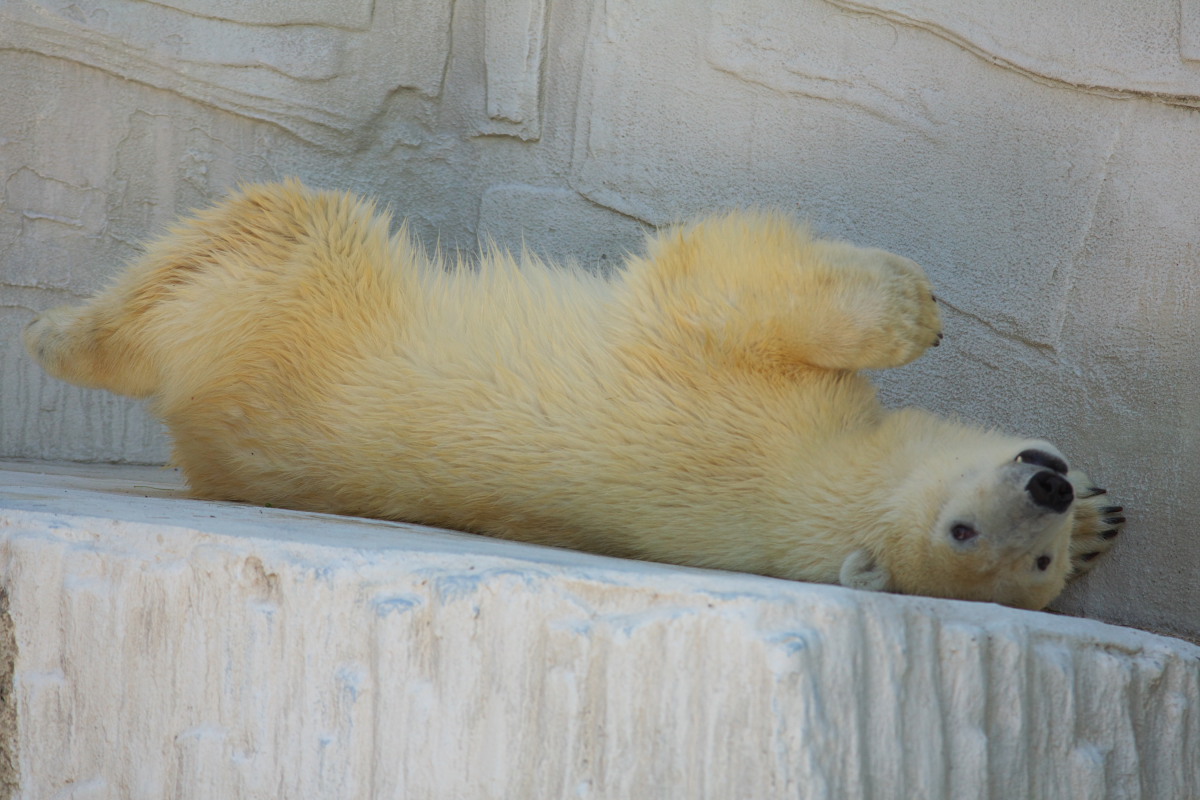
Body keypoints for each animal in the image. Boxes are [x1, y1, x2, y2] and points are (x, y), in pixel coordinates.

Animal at [21, 179, 1123, 606]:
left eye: (1033, 563)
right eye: (966, 533)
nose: (1050, 489)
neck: (821, 494)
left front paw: (1099, 520)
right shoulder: (741, 402)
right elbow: (714, 277)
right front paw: (915, 305)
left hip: (293, 319)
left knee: (268, 231)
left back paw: (64, 334)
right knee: (276, 224)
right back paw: (58, 332)